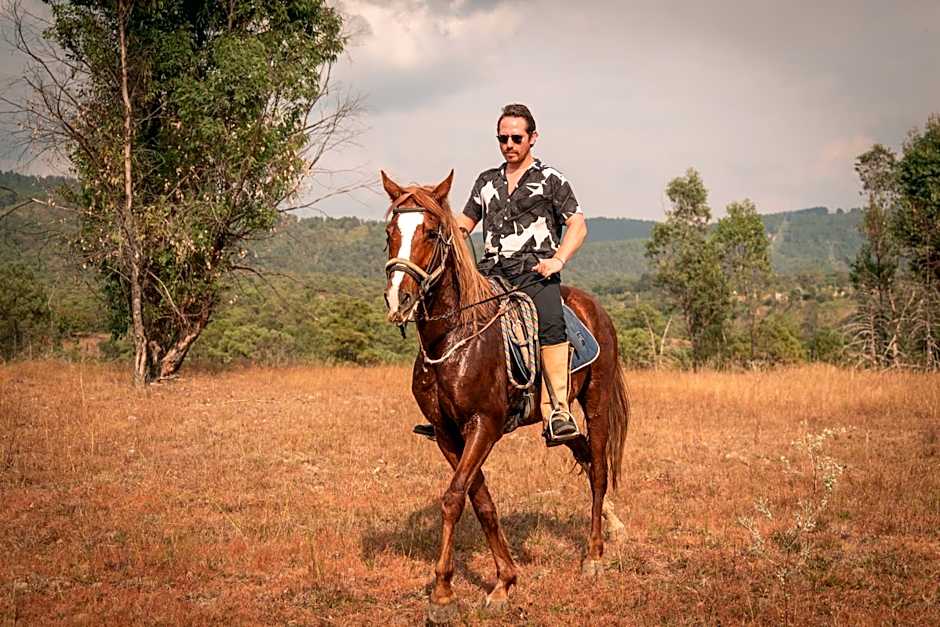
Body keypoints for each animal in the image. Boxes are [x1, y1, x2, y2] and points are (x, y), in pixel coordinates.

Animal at [381, 170, 630, 622]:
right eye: (391, 231)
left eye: (431, 232)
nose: (399, 298)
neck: (455, 337)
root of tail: (595, 308)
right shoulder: (447, 434)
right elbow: (479, 500)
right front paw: (504, 581)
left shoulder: (484, 425)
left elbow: (453, 498)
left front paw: (442, 593)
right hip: (562, 424)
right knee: (585, 455)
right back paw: (611, 526)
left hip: (597, 402)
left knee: (600, 471)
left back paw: (594, 554)